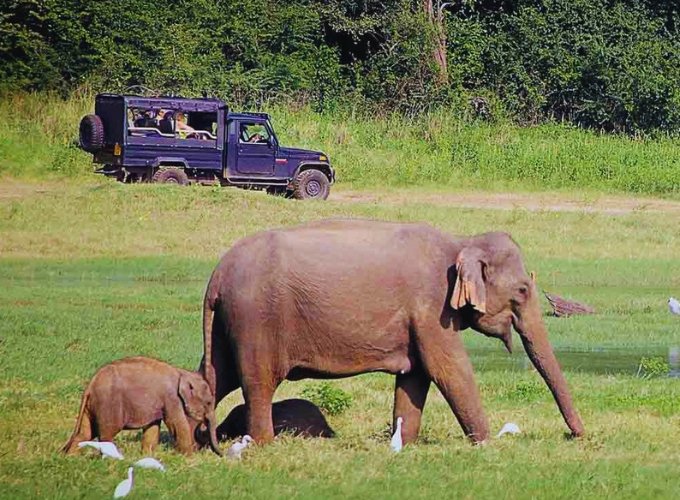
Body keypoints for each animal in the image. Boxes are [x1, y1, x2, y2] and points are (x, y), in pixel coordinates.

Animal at [62, 356, 222, 455]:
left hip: (92, 407)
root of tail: (90, 384)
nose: (221, 456)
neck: (182, 372)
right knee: (106, 434)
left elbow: (152, 427)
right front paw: (189, 457)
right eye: (209, 403)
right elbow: (177, 424)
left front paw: (148, 455)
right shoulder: (172, 398)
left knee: (85, 433)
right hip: (108, 405)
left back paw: (71, 457)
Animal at [200, 219, 584, 445]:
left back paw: (200, 443)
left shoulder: (420, 318)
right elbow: (447, 369)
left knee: (215, 375)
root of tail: (217, 275)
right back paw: (263, 445)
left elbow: (416, 376)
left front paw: (405, 444)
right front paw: (487, 444)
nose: (576, 436)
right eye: (522, 290)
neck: (461, 241)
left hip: (229, 323)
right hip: (256, 320)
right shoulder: (431, 307)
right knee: (258, 381)